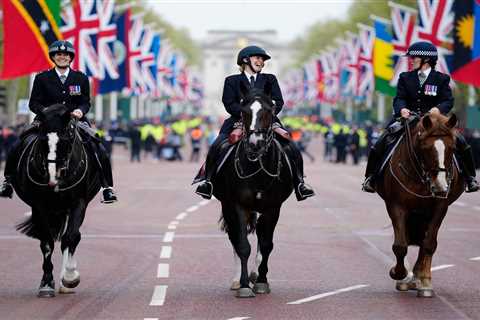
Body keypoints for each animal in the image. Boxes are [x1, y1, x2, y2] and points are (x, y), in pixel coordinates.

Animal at [12, 105, 100, 298]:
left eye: (67, 138)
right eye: (43, 140)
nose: (53, 179)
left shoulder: (78, 203)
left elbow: (71, 237)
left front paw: (70, 277)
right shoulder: (39, 206)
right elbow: (46, 242)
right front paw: (46, 283)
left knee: (70, 238)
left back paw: (65, 282)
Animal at [213, 82, 292, 298]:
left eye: (269, 110)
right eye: (244, 111)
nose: (255, 144)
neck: (258, 168)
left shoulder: (273, 208)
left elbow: (265, 245)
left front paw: (262, 281)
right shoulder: (237, 206)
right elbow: (242, 245)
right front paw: (244, 285)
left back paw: (255, 274)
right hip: (228, 207)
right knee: (235, 238)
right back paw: (238, 280)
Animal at [376, 112, 464, 298]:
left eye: (452, 147)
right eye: (425, 147)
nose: (441, 186)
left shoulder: (440, 207)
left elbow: (429, 244)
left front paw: (424, 282)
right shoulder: (397, 206)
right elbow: (400, 245)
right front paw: (398, 274)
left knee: (425, 242)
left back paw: (420, 278)